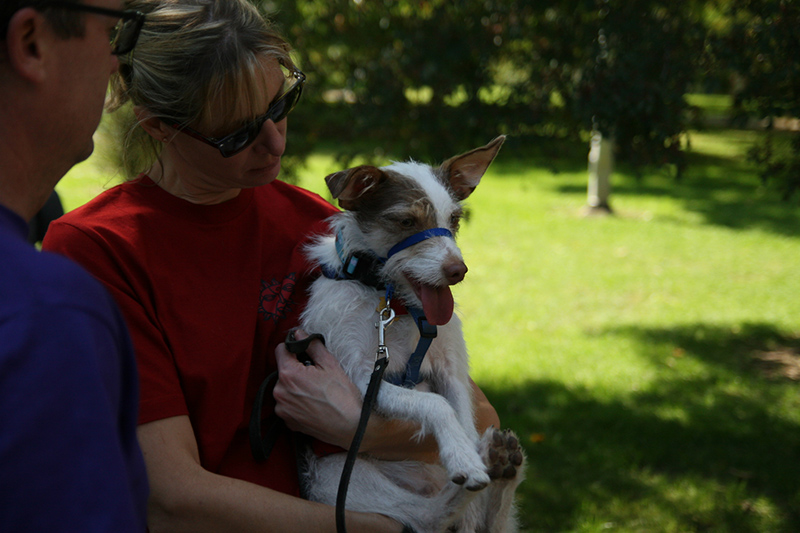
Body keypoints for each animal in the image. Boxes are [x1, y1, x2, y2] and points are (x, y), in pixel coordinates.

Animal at [300, 137, 524, 532]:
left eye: (454, 220)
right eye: (406, 221)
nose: (458, 270)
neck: (395, 306)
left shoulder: (451, 371)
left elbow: (462, 417)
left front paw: (467, 451)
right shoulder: (362, 378)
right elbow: (434, 403)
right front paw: (464, 459)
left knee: (484, 525)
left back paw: (498, 465)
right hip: (336, 476)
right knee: (425, 516)